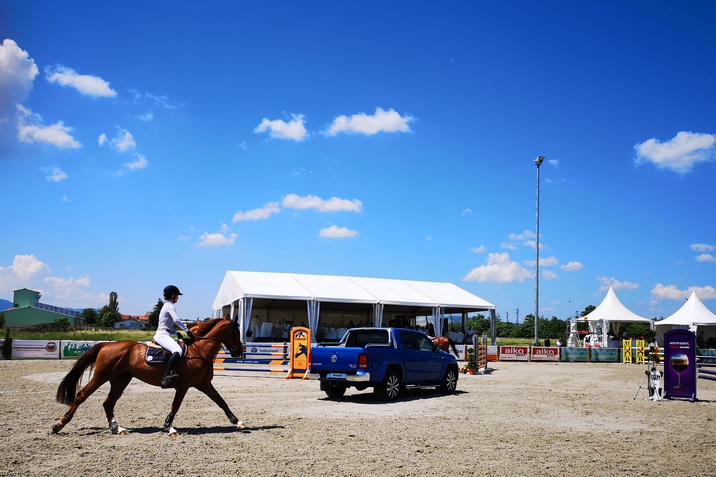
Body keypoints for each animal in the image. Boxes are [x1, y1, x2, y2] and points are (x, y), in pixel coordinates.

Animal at [51, 316, 243, 436]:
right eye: (236, 332)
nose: (239, 352)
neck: (199, 351)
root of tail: (106, 345)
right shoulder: (184, 386)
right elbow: (176, 405)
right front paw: (168, 426)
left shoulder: (204, 384)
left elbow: (221, 401)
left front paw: (237, 421)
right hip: (101, 376)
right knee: (82, 395)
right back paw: (59, 425)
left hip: (120, 380)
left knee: (108, 402)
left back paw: (116, 427)